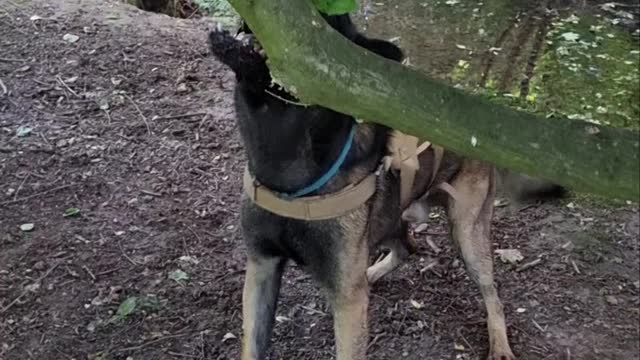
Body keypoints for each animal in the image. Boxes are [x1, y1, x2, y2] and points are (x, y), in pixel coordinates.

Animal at [209, 11, 560, 360]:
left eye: (328, 24)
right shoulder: (261, 268)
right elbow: (252, 345)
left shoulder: (347, 304)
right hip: (393, 217)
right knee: (407, 246)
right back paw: (373, 273)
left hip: (467, 233)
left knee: (492, 294)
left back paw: (500, 344)